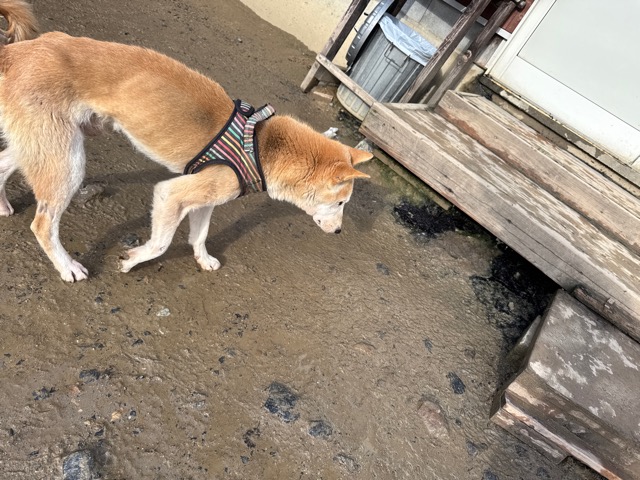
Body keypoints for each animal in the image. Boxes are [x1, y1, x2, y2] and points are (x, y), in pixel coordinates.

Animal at [0, 0, 372, 282]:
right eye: (342, 202)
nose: (340, 233)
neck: (262, 145)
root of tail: (17, 53)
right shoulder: (171, 195)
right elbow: (161, 243)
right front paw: (132, 259)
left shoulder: (206, 195)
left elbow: (199, 235)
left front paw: (203, 259)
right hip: (67, 162)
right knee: (43, 224)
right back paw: (68, 267)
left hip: (44, 145)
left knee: (4, 163)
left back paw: (3, 205)